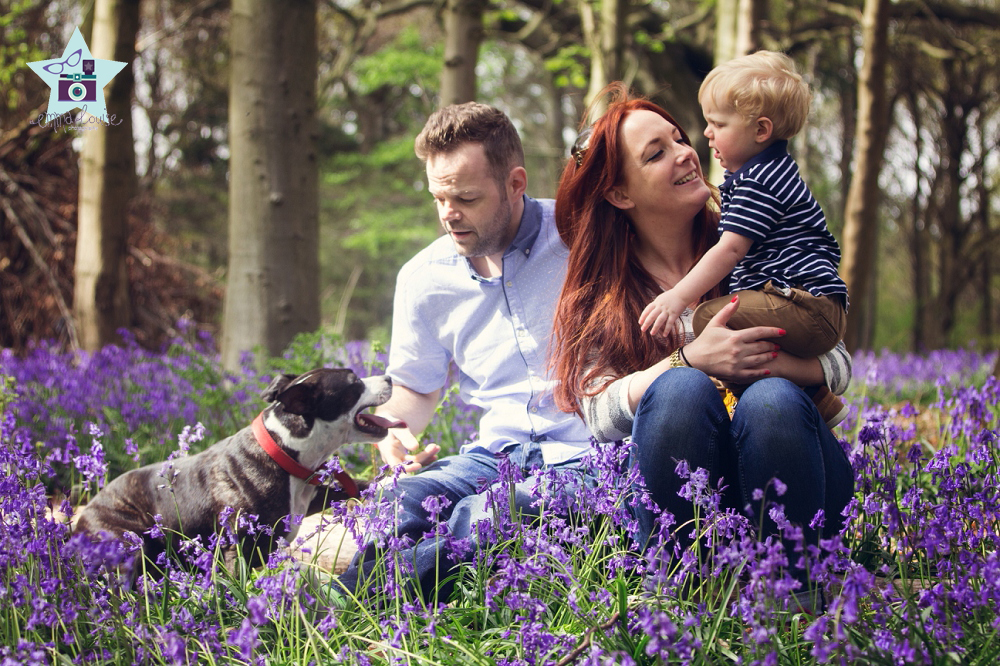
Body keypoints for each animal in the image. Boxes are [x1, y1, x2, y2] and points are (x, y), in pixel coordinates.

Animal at [73, 366, 402, 572]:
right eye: (354, 382)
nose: (389, 377)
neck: (284, 449)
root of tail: (78, 524)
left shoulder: (308, 497)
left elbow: (351, 486)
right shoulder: (238, 550)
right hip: (127, 544)